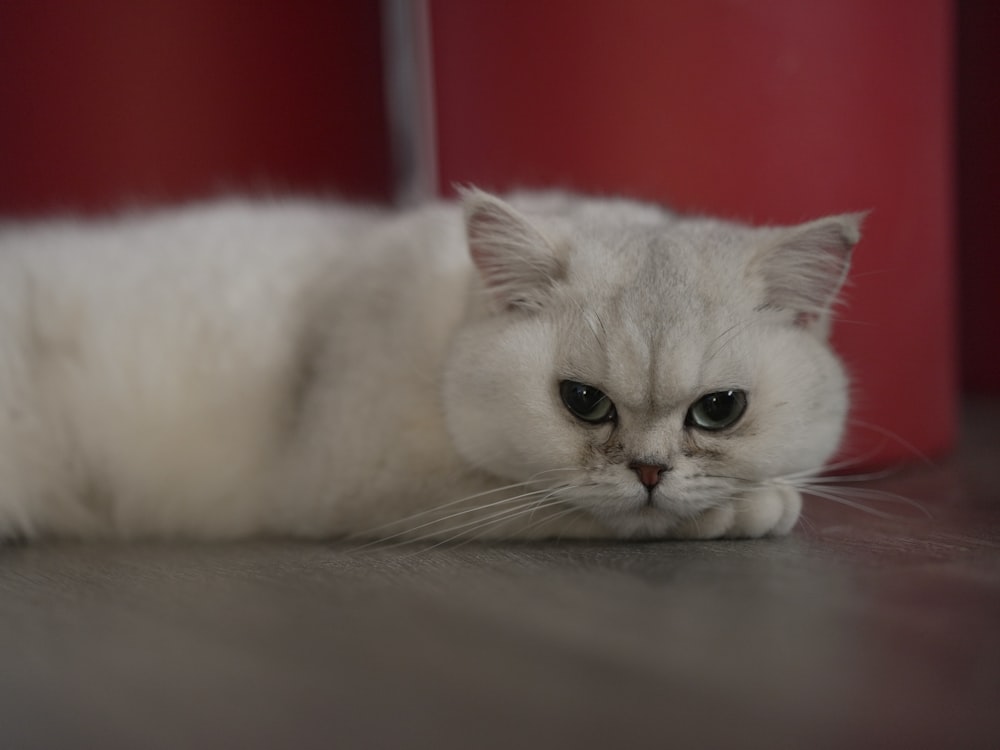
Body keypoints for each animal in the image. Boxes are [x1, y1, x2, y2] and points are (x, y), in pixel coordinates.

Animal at [0, 187, 860, 540]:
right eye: (583, 401)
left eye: (719, 410)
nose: (649, 473)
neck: (445, 325)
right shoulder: (373, 489)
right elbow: (552, 506)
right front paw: (755, 509)